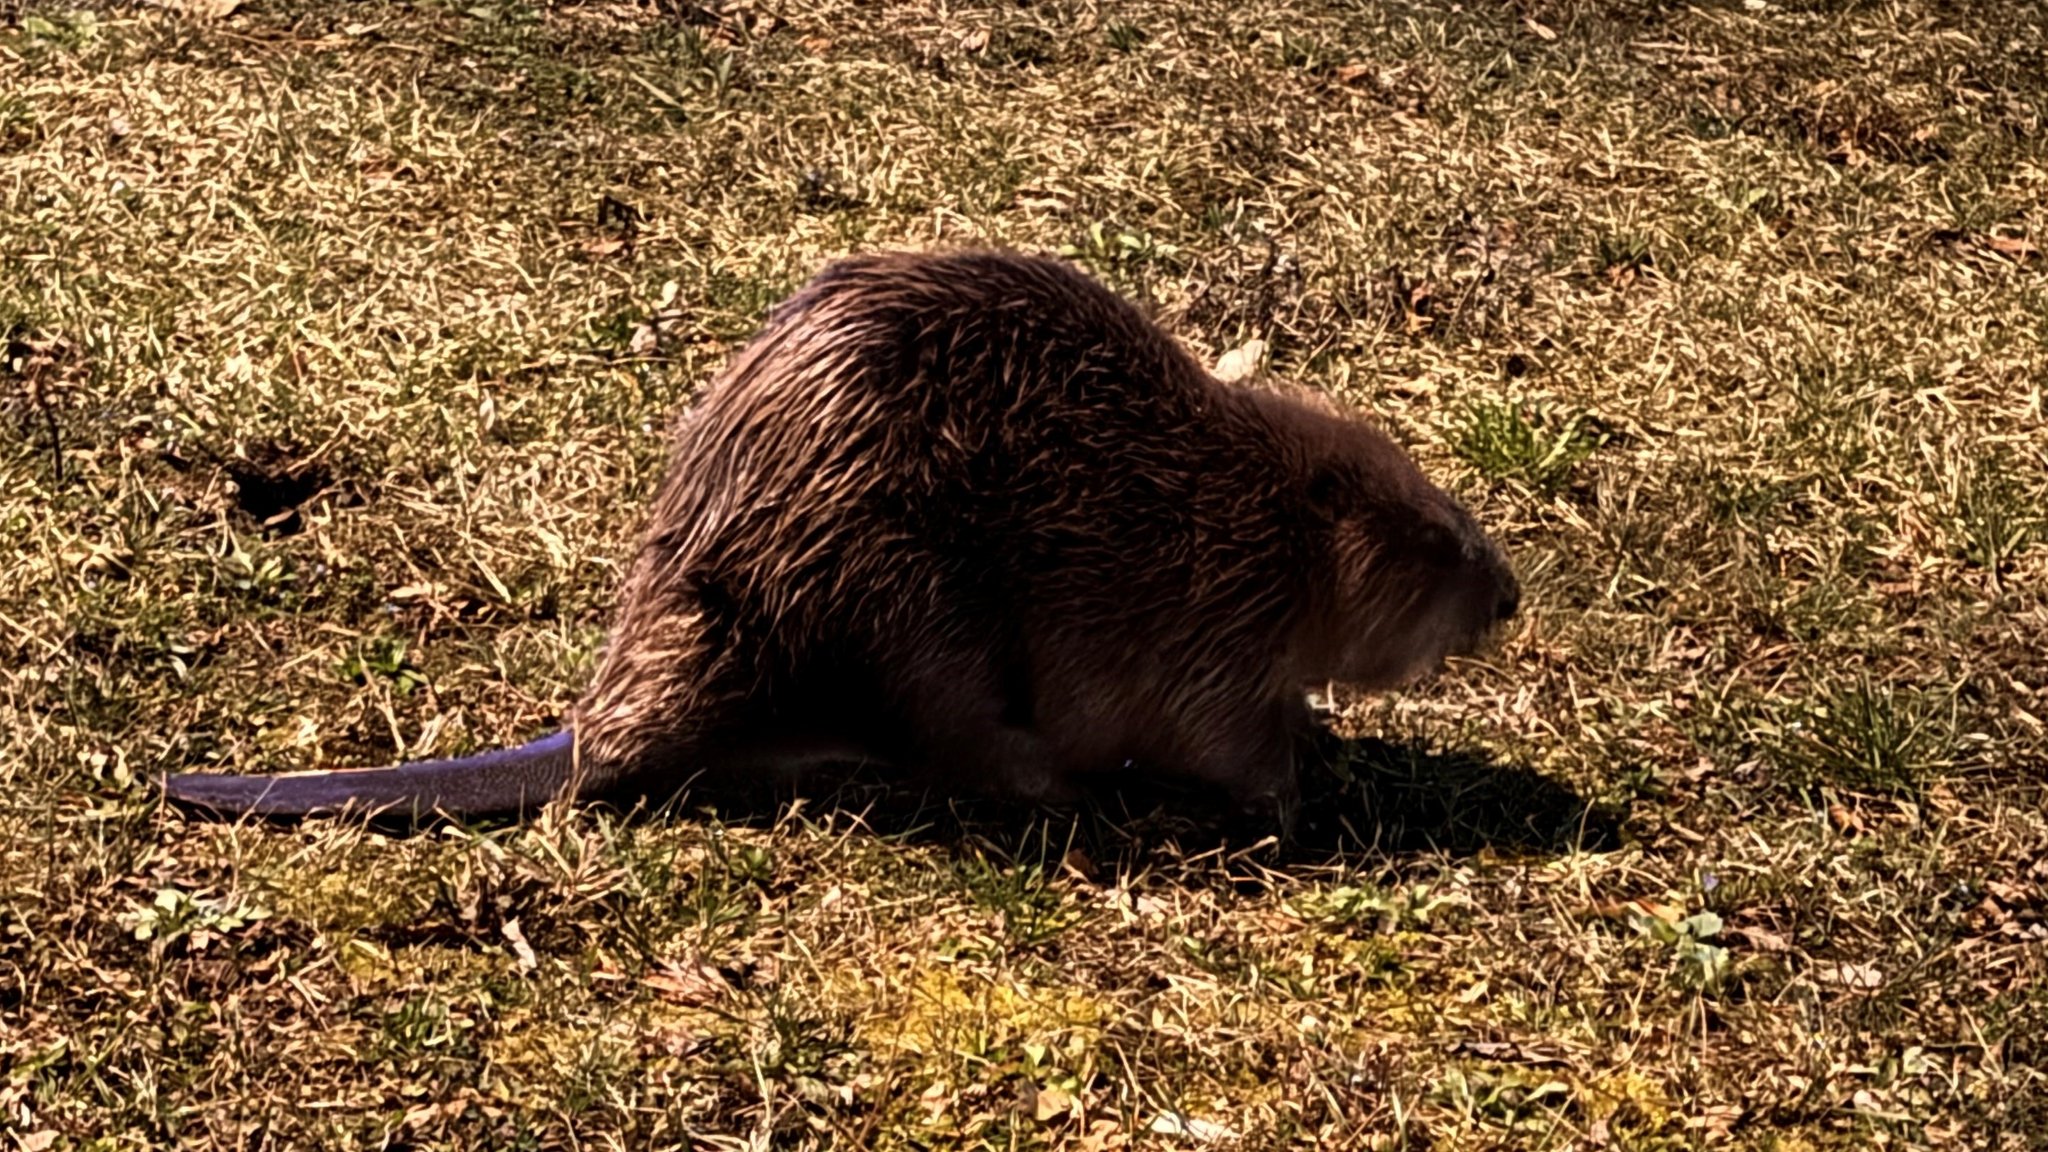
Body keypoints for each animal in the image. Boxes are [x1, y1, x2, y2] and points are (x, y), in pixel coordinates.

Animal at [163, 243, 1523, 832]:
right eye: (1433, 533)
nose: (1508, 594)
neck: (1237, 511)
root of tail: (595, 736)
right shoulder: (1198, 616)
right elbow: (1230, 738)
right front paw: (1305, 803)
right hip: (902, 605)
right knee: (958, 746)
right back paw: (1069, 790)